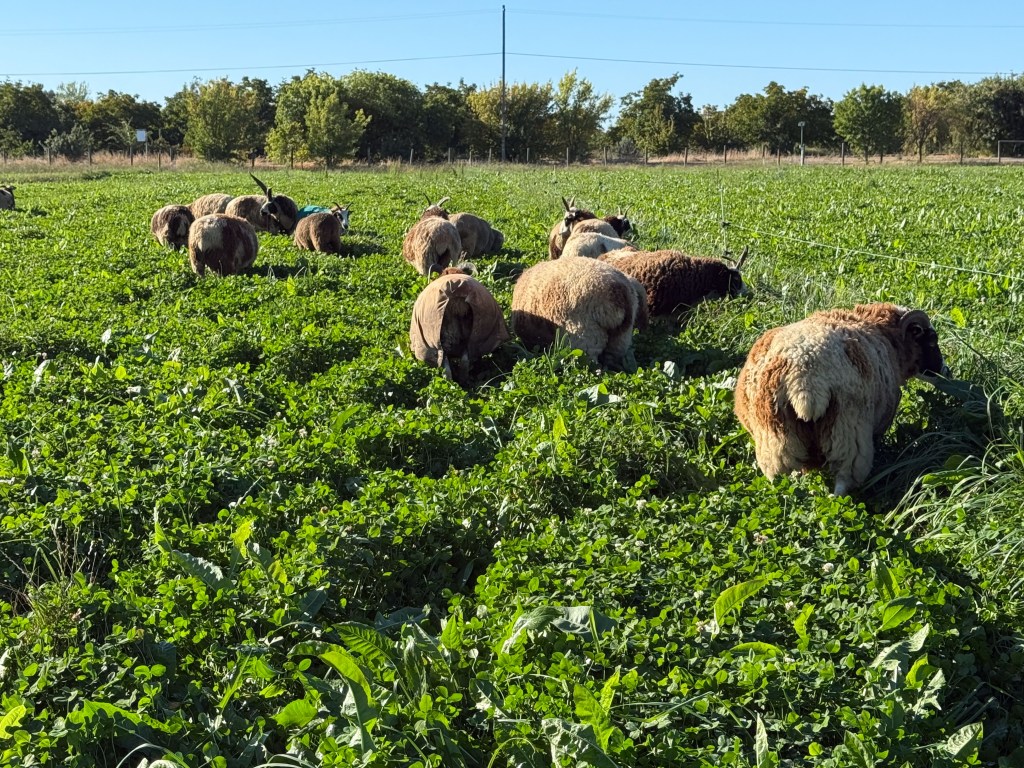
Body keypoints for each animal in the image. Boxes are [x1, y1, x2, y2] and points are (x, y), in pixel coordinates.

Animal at [732, 302, 946, 496]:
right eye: (932, 341)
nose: (944, 371)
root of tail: (804, 377)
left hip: (777, 438)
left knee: (783, 481)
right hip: (848, 429)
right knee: (843, 480)